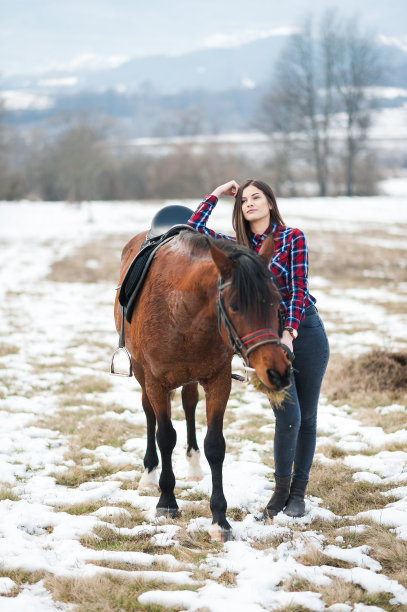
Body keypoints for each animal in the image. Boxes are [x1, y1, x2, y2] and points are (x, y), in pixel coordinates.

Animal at [115, 230, 292, 540]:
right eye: (235, 306)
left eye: (276, 300)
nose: (278, 372)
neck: (182, 311)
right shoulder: (156, 382)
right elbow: (165, 436)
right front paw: (167, 502)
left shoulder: (218, 381)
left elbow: (215, 445)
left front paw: (219, 519)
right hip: (142, 374)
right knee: (149, 414)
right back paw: (149, 473)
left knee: (188, 405)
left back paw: (194, 464)